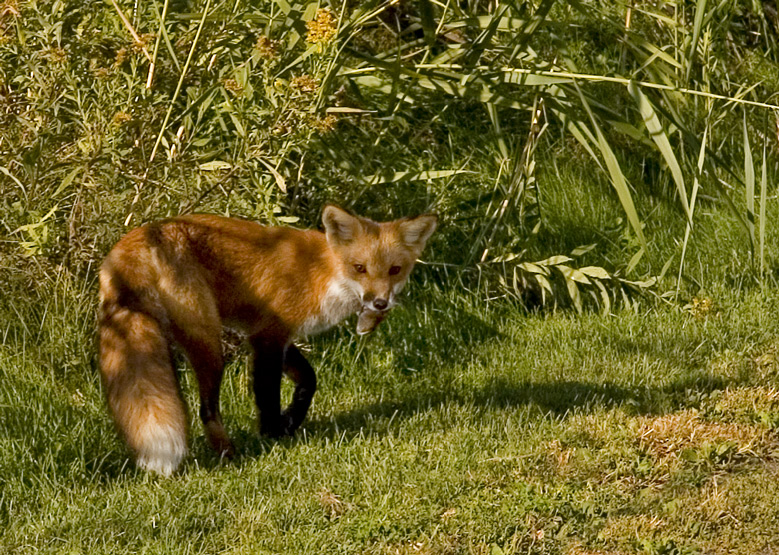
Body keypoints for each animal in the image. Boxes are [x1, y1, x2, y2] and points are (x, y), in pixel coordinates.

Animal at [97, 206, 436, 476]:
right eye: (360, 268)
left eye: (395, 270)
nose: (379, 303)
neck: (324, 274)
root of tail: (135, 240)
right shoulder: (268, 337)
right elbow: (267, 394)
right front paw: (273, 434)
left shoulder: (273, 335)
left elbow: (309, 380)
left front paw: (291, 420)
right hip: (209, 343)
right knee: (207, 410)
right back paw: (229, 455)